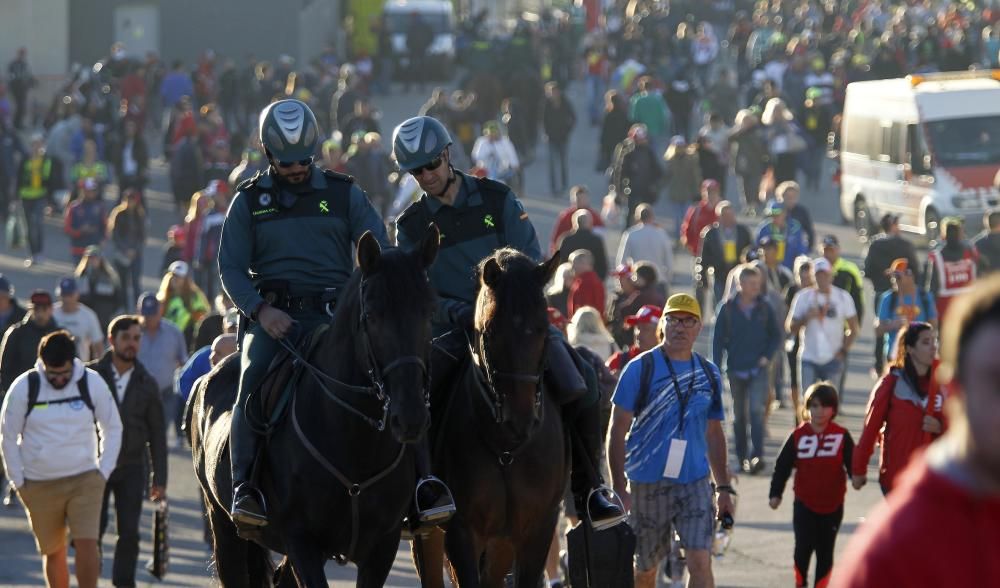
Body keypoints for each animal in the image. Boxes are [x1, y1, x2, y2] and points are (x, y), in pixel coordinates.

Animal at [193, 229, 440, 588]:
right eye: (372, 315)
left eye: (429, 313)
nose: (410, 417)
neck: (354, 442)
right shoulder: (302, 542)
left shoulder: (383, 546)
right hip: (224, 527)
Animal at [414, 248, 572, 588]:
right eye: (490, 331)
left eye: (543, 328)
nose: (521, 418)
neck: (506, 449)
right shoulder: (461, 530)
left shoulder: (537, 530)